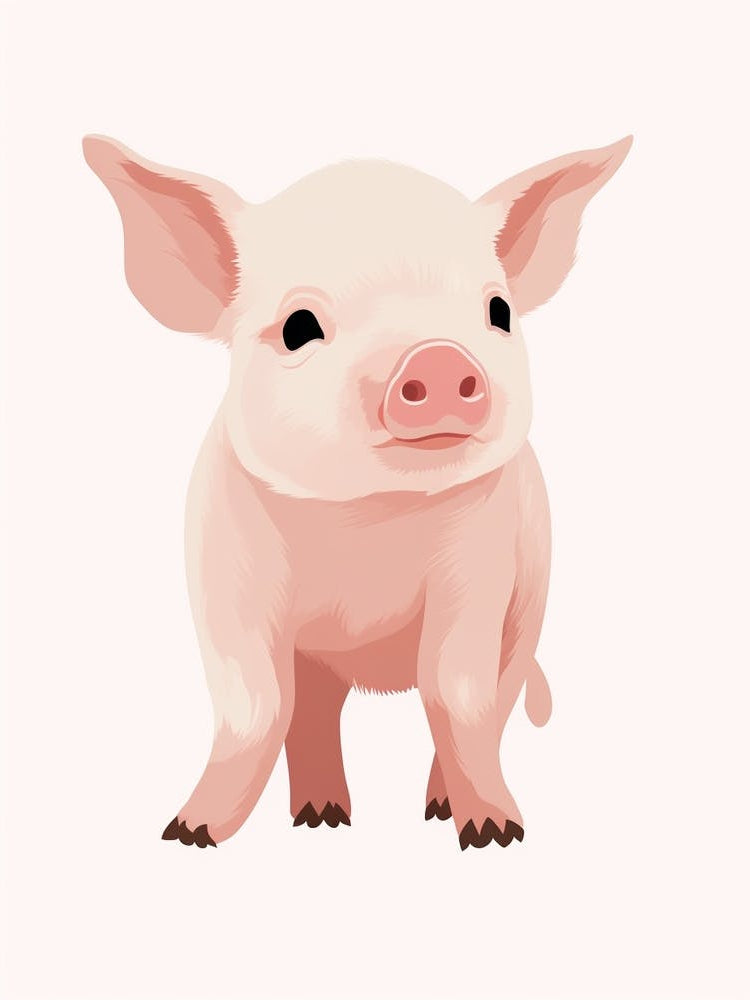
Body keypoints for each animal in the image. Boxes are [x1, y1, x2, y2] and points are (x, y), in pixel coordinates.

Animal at [83, 133, 631, 850]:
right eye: (298, 326)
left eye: (500, 312)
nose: (438, 356)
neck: (366, 522)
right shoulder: (223, 569)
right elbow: (254, 704)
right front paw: (187, 834)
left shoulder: (481, 568)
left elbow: (457, 694)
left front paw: (495, 834)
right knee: (311, 710)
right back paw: (321, 819)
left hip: (531, 605)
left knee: (493, 696)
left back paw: (434, 809)